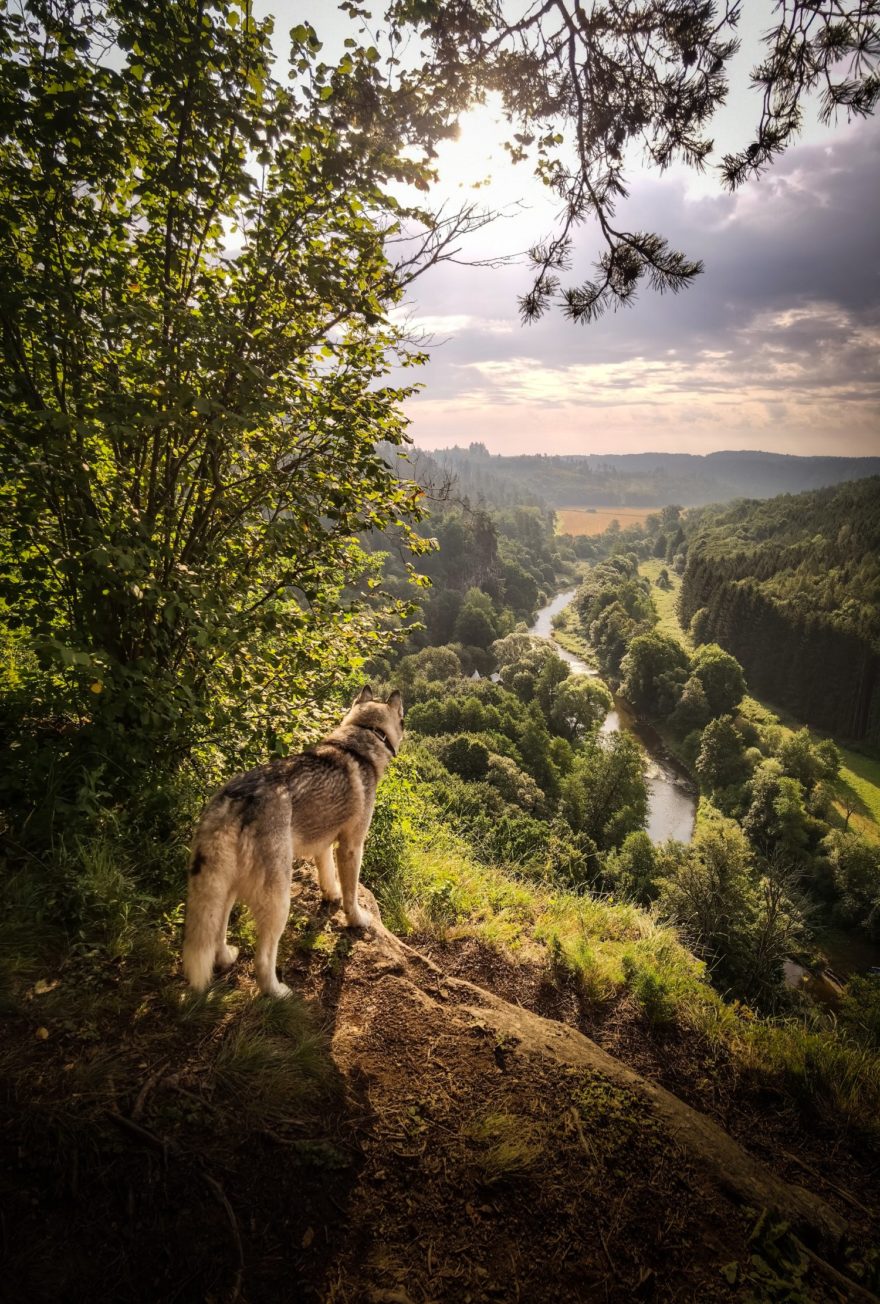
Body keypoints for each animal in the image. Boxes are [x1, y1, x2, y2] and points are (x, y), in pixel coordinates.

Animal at [187, 683, 406, 996]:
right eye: (403, 719)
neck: (362, 736)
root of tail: (236, 799)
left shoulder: (324, 842)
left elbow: (328, 875)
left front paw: (331, 895)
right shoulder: (351, 846)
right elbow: (351, 892)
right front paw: (356, 919)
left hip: (224, 886)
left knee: (217, 929)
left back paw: (226, 957)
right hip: (278, 899)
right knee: (263, 959)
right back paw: (277, 992)